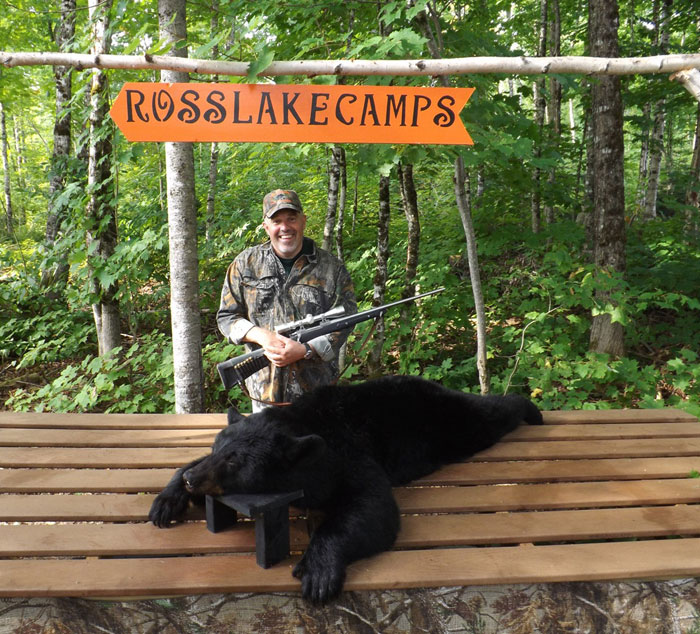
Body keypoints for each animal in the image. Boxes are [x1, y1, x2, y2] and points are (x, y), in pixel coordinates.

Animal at [149, 375, 542, 603]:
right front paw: (167, 500)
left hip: (449, 420)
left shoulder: (348, 455)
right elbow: (189, 460)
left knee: (488, 414)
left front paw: (318, 572)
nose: (194, 481)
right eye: (218, 448)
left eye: (235, 464)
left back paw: (531, 410)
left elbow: (373, 508)